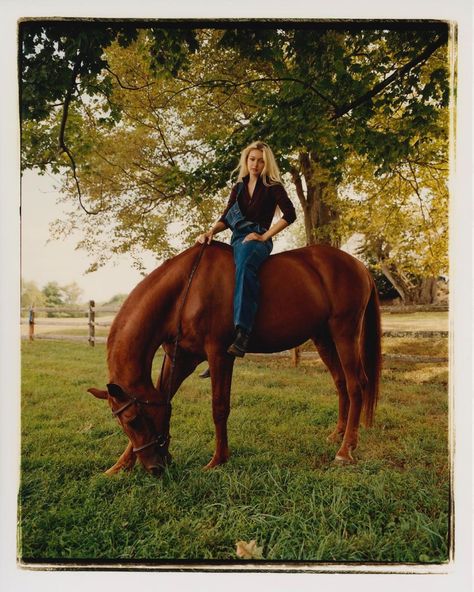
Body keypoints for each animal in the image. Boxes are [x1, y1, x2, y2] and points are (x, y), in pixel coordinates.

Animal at [88, 240, 382, 476]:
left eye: (132, 420)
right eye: (123, 423)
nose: (155, 468)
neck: (185, 290)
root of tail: (360, 266)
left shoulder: (219, 355)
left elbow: (219, 408)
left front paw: (218, 460)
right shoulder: (179, 359)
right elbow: (164, 397)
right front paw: (118, 466)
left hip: (345, 331)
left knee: (356, 384)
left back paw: (345, 450)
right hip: (324, 338)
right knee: (341, 383)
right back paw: (338, 434)